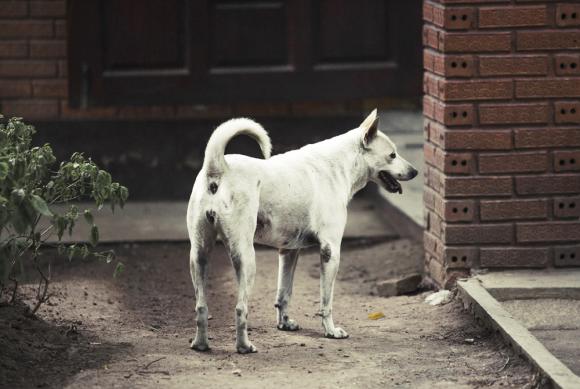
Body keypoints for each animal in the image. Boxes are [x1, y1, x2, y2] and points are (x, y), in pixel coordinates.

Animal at [188, 109, 420, 352]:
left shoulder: (289, 252)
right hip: (245, 258)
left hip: (199, 256)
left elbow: (284, 294)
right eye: (392, 155)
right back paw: (244, 346)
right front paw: (331, 331)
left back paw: (200, 344)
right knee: (240, 308)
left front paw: (284, 324)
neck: (340, 165)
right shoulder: (330, 251)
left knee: (201, 307)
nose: (415, 171)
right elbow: (326, 301)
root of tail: (218, 167)